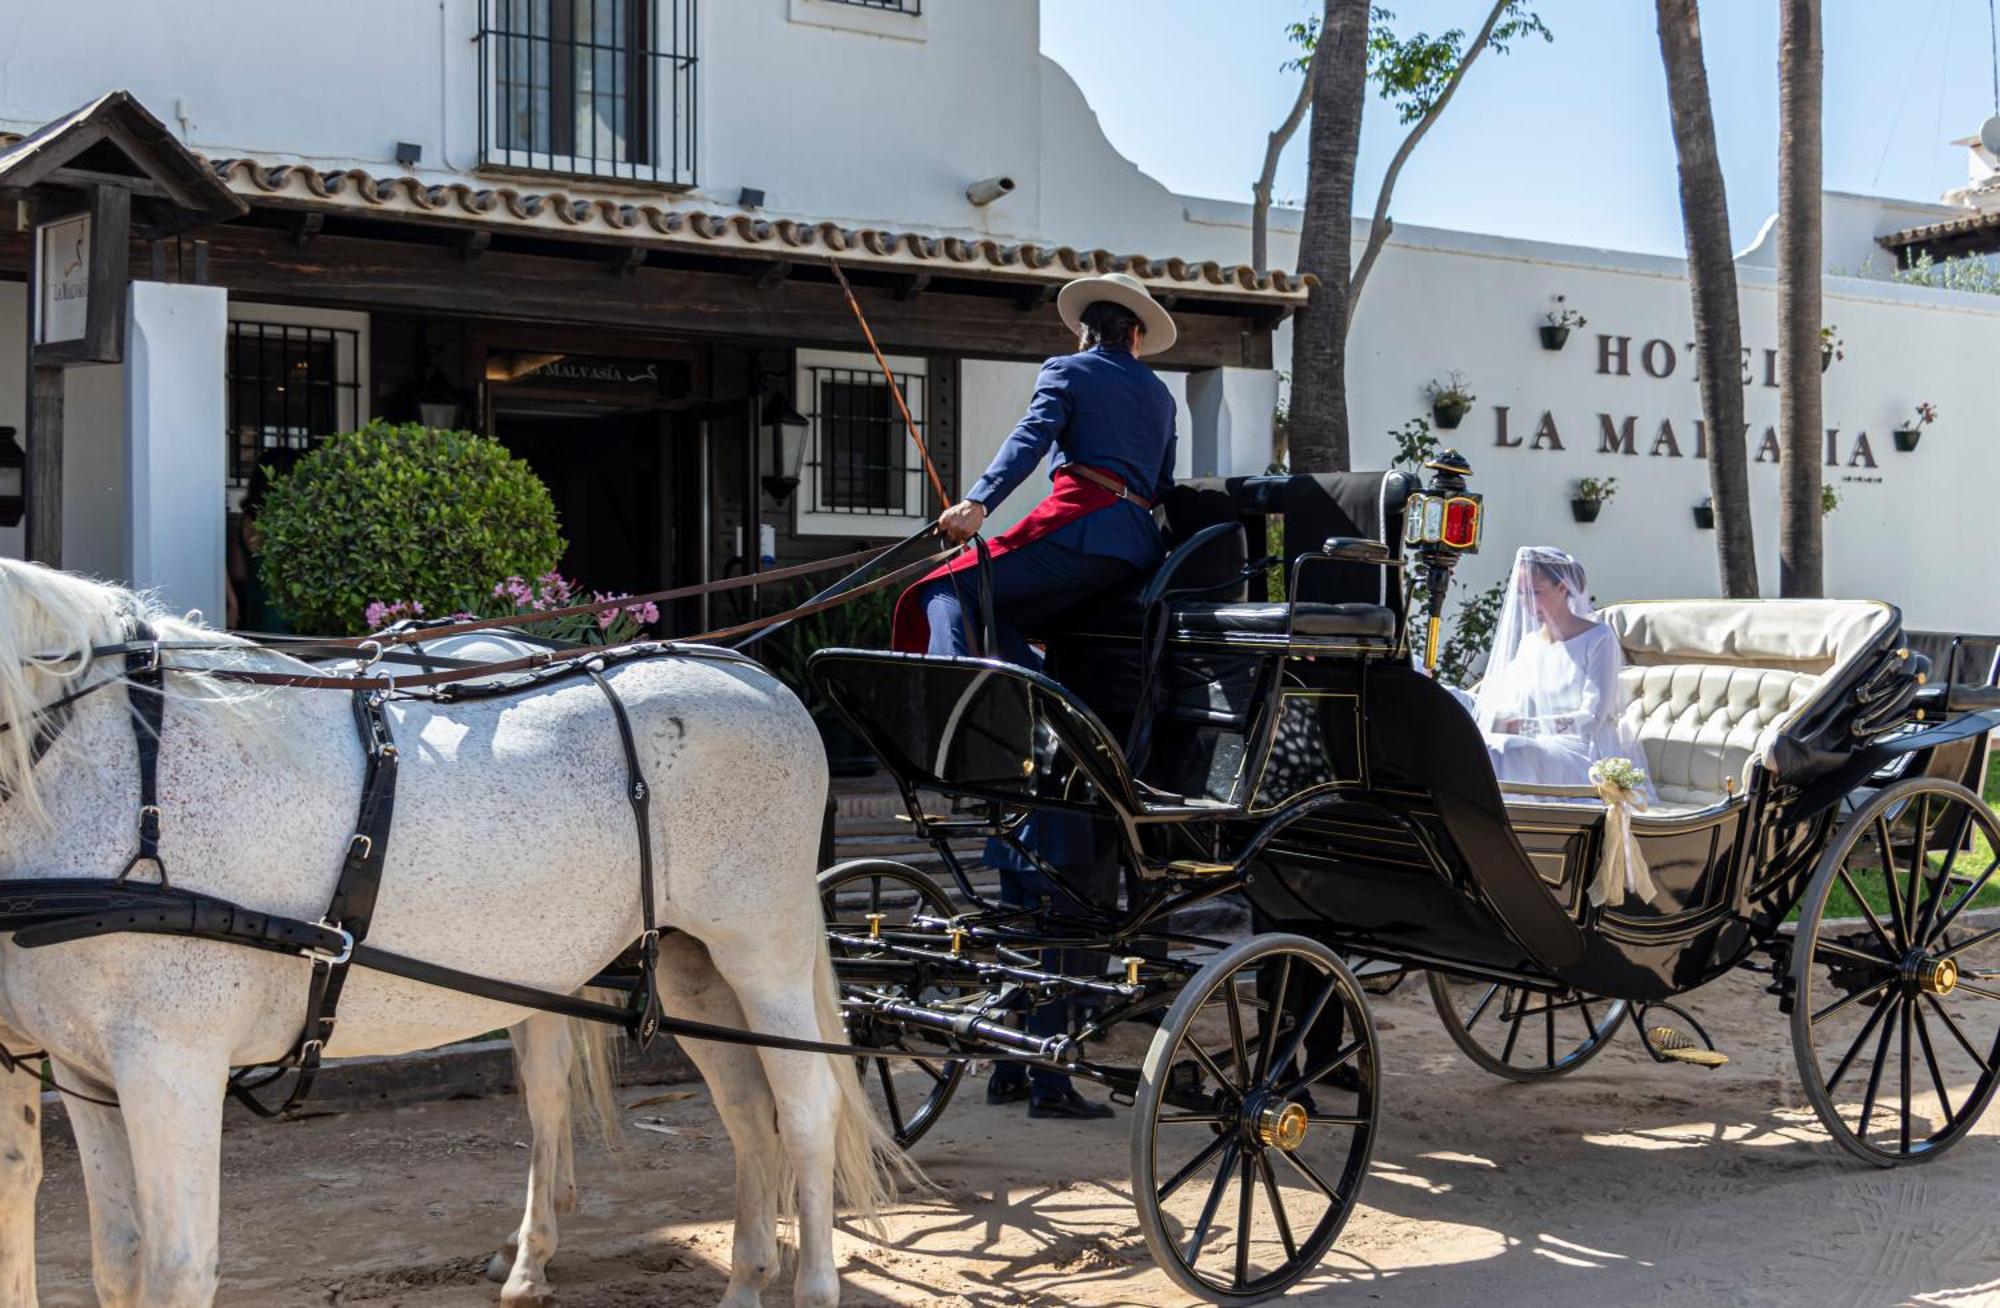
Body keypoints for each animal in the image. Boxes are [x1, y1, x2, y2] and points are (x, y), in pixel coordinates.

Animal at [0, 564, 900, 1308]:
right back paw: (742, 1278)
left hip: (763, 952)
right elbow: (113, 1257)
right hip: (688, 962)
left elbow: (176, 1269)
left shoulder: (171, 1063)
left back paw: (810, 1288)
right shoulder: (83, 1064)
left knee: (807, 1107)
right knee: (746, 1110)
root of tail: (756, 676)